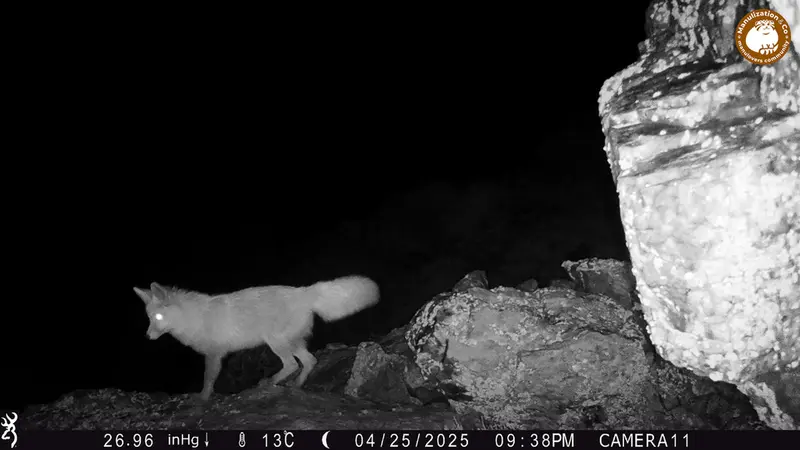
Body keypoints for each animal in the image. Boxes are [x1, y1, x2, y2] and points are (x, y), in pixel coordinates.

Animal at [132, 275, 379, 401]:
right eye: (149, 319)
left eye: (158, 317)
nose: (147, 336)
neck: (193, 318)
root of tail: (304, 291)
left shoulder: (214, 355)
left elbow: (208, 380)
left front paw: (202, 399)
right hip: (291, 343)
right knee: (309, 361)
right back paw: (296, 385)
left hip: (275, 342)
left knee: (291, 364)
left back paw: (270, 383)